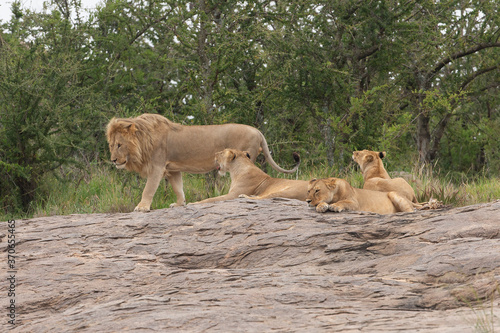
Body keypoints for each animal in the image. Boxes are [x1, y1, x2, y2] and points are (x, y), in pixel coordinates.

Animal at [106, 113, 298, 209]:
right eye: (111, 145)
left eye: (120, 145)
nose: (113, 160)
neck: (144, 139)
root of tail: (258, 131)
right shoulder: (173, 169)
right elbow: (178, 188)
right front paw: (179, 204)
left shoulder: (157, 166)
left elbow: (148, 189)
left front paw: (142, 207)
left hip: (246, 155)